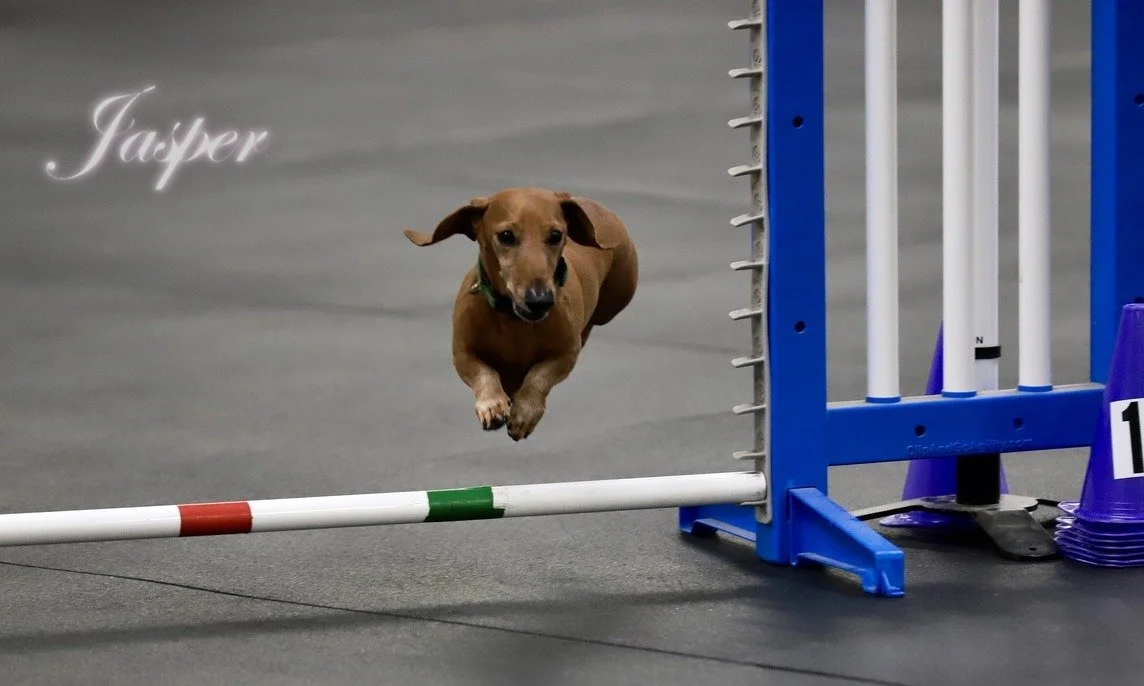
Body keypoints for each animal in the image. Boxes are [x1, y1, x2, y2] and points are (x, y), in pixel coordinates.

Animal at [403, 187, 638, 441]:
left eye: (556, 235)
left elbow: (539, 376)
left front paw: (524, 414)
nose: (540, 300)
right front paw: (492, 405)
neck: (513, 321)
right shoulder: (462, 353)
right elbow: (482, 372)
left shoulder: (565, 354)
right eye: (506, 235)